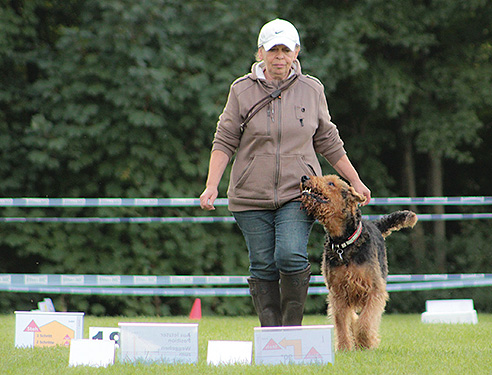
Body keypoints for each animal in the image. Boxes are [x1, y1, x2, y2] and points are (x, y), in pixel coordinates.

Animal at [298, 175, 418, 352]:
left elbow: (365, 322)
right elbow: (342, 322)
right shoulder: (338, 292)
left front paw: (365, 343)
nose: (304, 177)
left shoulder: (374, 290)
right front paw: (344, 348)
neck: (343, 243)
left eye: (331, 183)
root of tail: (375, 224)